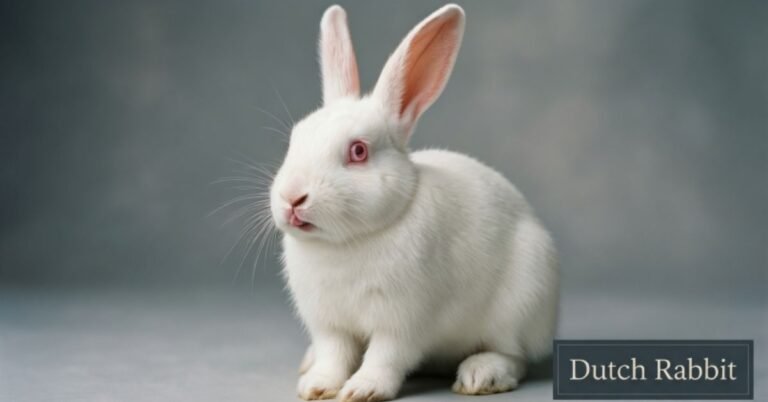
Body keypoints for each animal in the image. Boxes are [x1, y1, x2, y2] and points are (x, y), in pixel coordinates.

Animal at [268, 4, 559, 401]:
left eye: (358, 151)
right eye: (295, 139)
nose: (292, 198)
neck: (346, 243)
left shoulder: (402, 320)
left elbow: (385, 356)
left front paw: (363, 389)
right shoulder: (328, 322)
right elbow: (334, 354)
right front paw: (317, 386)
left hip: (522, 301)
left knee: (515, 355)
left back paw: (481, 376)